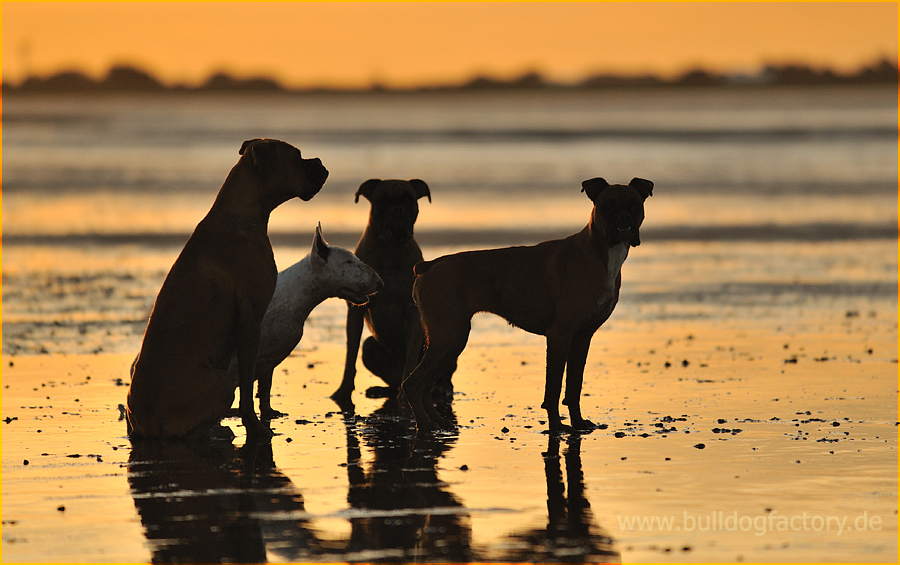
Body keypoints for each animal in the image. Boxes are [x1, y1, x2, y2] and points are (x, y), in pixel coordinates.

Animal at [125, 139, 326, 438]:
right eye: (297, 158)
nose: (321, 163)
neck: (241, 214)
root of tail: (145, 424)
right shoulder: (250, 323)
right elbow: (248, 385)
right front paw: (255, 426)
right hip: (221, 380)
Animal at [230, 226, 382, 418]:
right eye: (348, 261)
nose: (380, 283)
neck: (294, 296)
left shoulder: (269, 360)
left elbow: (265, 388)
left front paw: (270, 413)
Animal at [334, 178, 436, 404]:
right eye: (382, 201)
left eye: (409, 200)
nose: (397, 209)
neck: (391, 249)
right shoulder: (356, 309)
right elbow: (350, 354)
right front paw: (344, 391)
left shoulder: (413, 312)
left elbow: (411, 355)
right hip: (370, 347)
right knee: (392, 378)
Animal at [404, 176, 652, 432]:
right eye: (608, 206)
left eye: (634, 205)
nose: (624, 218)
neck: (599, 252)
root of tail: (430, 264)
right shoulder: (559, 336)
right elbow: (553, 388)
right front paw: (557, 426)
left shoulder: (582, 338)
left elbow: (574, 385)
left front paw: (578, 422)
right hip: (450, 337)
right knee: (412, 384)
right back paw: (425, 424)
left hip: (448, 341)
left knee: (425, 385)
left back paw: (438, 422)